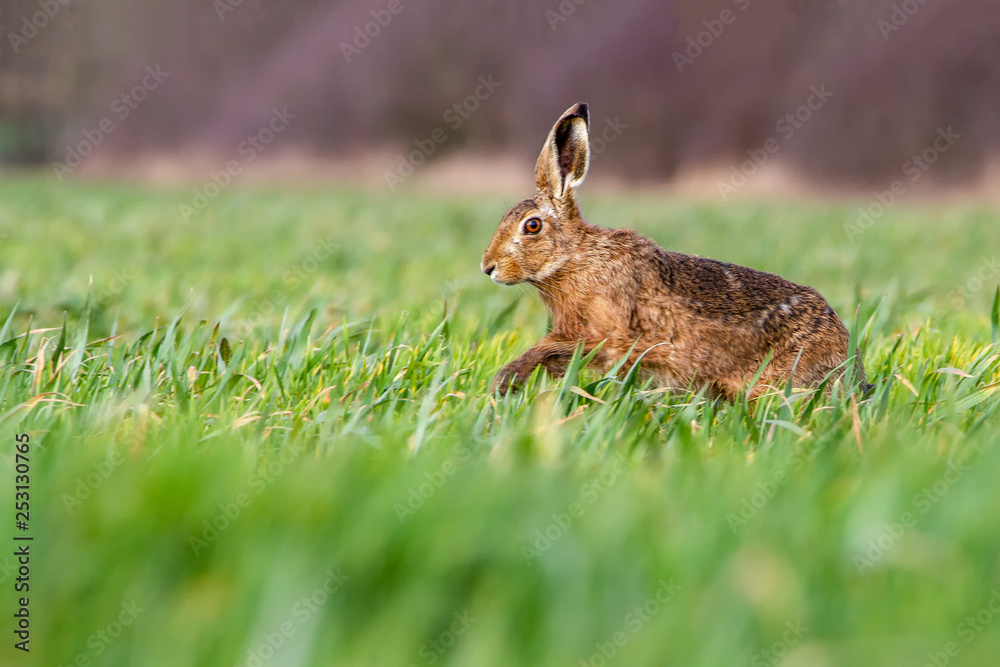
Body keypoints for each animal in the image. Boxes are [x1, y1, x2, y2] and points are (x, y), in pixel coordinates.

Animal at [480, 103, 870, 400]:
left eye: (532, 226)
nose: (488, 267)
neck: (575, 258)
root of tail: (852, 368)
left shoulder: (607, 337)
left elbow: (551, 347)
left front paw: (505, 382)